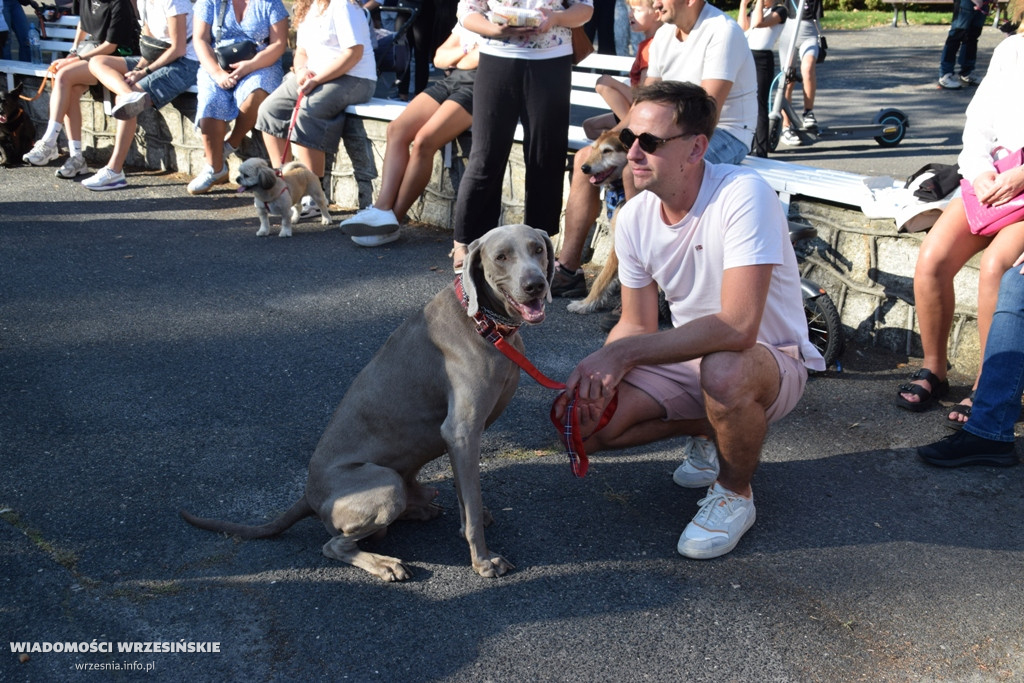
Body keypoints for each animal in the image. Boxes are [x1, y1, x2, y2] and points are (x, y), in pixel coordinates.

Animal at [180, 223, 557, 581]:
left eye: (538, 249)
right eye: (501, 257)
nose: (536, 285)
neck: (483, 320)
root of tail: (309, 495)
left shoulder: (459, 443)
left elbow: (467, 500)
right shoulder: (461, 433)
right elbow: (473, 505)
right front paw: (483, 560)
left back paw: (420, 509)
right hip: (385, 485)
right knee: (335, 544)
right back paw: (385, 563)